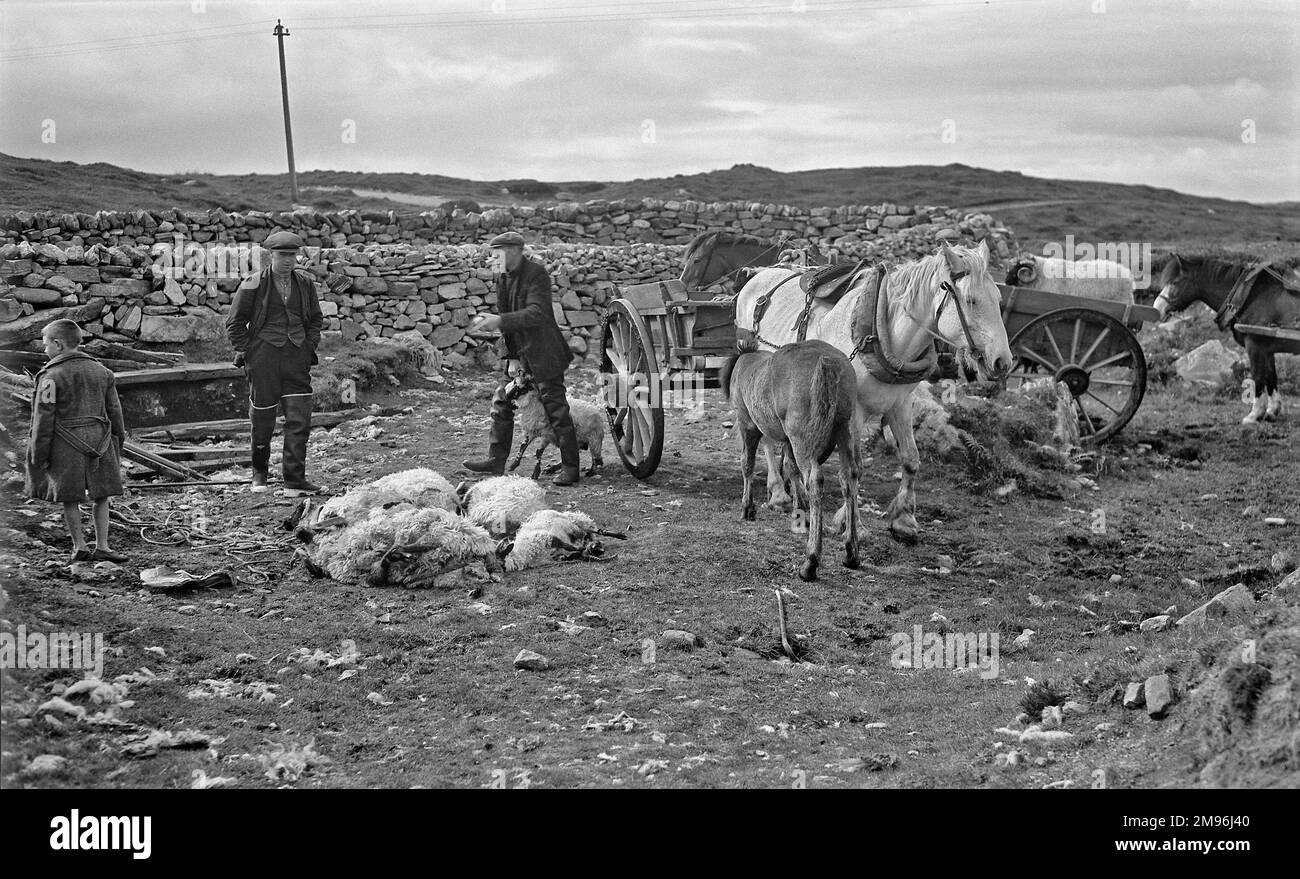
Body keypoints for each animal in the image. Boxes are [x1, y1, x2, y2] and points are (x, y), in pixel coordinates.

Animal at [722, 340, 863, 579]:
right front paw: (799, 508)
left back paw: (810, 560)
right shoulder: (788, 439)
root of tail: (828, 361)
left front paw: (747, 508)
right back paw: (850, 552)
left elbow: (747, 464)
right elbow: (790, 467)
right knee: (849, 477)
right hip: (845, 429)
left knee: (815, 480)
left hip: (803, 438)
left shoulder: (747, 424)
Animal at [738, 240, 1008, 543]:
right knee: (766, 437)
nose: (1003, 362)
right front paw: (850, 522)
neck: (880, 334)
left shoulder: (900, 404)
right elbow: (853, 468)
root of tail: (759, 274)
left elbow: (911, 458)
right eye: (971, 300)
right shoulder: (853, 411)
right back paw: (778, 492)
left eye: (998, 299)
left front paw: (904, 520)